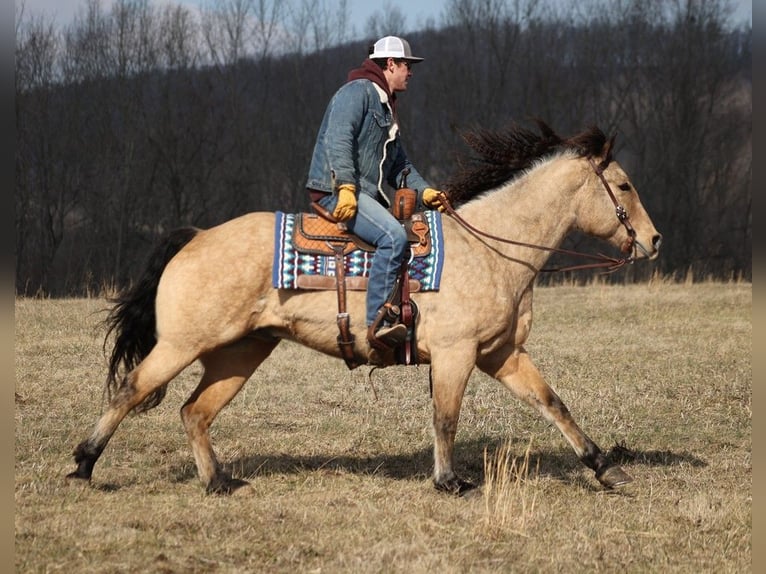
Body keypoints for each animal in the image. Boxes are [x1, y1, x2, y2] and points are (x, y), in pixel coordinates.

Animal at [66, 120, 664, 496]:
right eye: (623, 185)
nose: (654, 240)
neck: (491, 247)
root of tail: (196, 237)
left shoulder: (502, 355)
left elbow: (553, 404)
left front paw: (606, 469)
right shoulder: (456, 354)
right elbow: (445, 417)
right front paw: (449, 481)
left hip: (240, 352)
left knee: (194, 412)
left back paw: (217, 482)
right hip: (182, 344)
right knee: (131, 389)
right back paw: (83, 465)